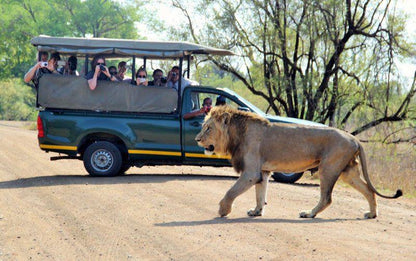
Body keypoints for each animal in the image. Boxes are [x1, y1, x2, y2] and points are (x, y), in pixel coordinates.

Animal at [196, 105, 404, 217]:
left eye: (208, 128)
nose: (197, 139)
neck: (237, 134)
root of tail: (354, 138)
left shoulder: (251, 172)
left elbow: (231, 191)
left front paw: (223, 209)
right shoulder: (262, 172)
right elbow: (260, 195)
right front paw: (256, 211)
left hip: (328, 168)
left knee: (327, 198)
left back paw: (309, 214)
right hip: (348, 172)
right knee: (369, 190)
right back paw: (372, 214)